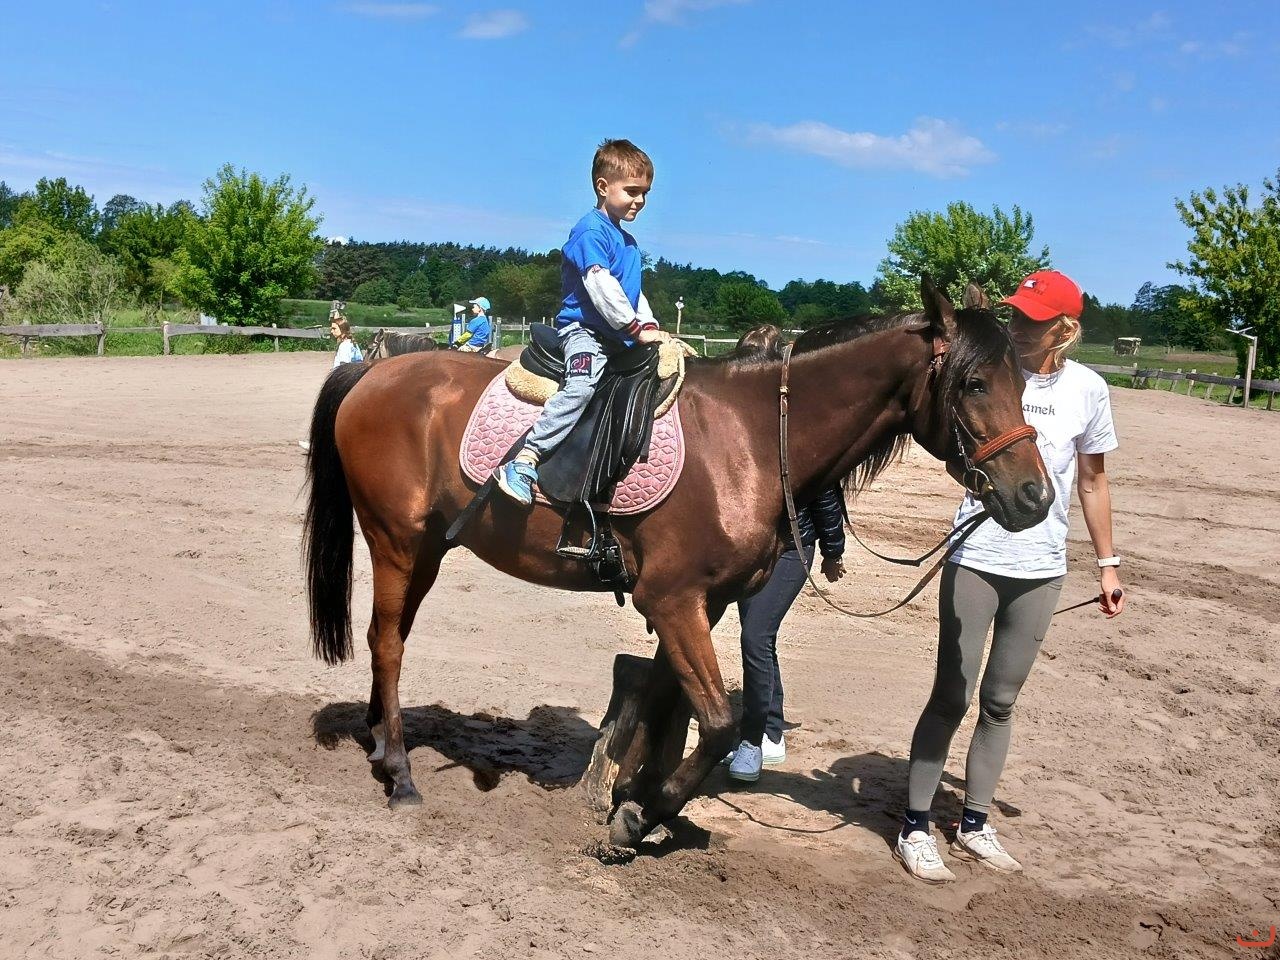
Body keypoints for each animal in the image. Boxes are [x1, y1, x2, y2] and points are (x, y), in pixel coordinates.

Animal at [302, 278, 1053, 847]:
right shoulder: (671, 599)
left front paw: (631, 792)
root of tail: (373, 370)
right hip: (398, 542)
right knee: (387, 642)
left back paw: (381, 746)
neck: (751, 440)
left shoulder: (701, 603)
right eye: (975, 383)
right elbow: (717, 723)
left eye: (1024, 382)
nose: (1036, 495)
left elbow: (668, 704)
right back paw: (401, 774)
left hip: (426, 548)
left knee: (386, 638)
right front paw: (639, 815)